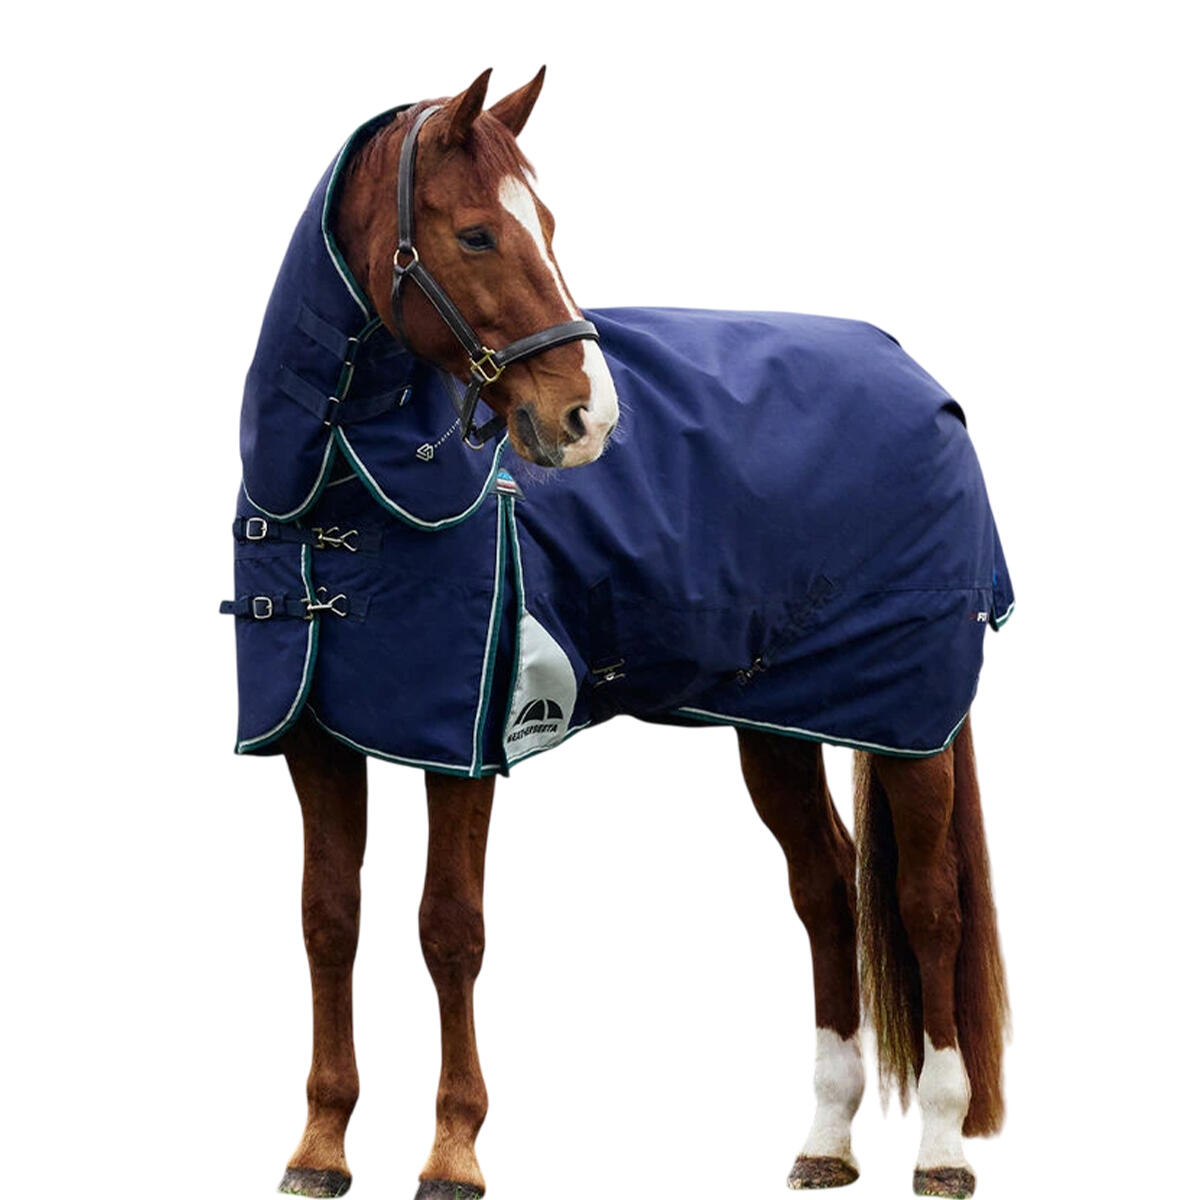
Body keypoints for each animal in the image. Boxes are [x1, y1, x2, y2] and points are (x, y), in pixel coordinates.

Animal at [226, 69, 1011, 1200]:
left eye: (548, 226)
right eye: (475, 234)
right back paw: (825, 1140)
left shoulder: (463, 745)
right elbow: (329, 920)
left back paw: (943, 1147)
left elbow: (448, 929)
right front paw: (320, 1147)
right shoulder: (317, 741)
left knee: (927, 902)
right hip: (778, 721)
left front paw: (453, 1153)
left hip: (911, 718)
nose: (587, 420)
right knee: (828, 891)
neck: (343, 496)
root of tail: (927, 387)